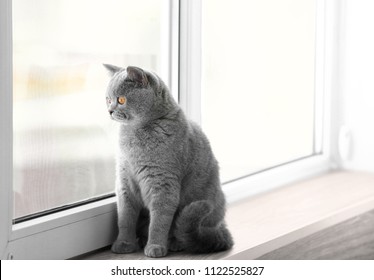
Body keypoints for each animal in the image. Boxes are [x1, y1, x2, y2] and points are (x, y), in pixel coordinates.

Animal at [103, 64, 232, 258]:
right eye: (108, 99)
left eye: (121, 99)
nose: (110, 111)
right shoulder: (124, 181)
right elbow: (125, 218)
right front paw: (124, 243)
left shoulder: (162, 183)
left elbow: (159, 221)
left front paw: (155, 246)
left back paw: (174, 242)